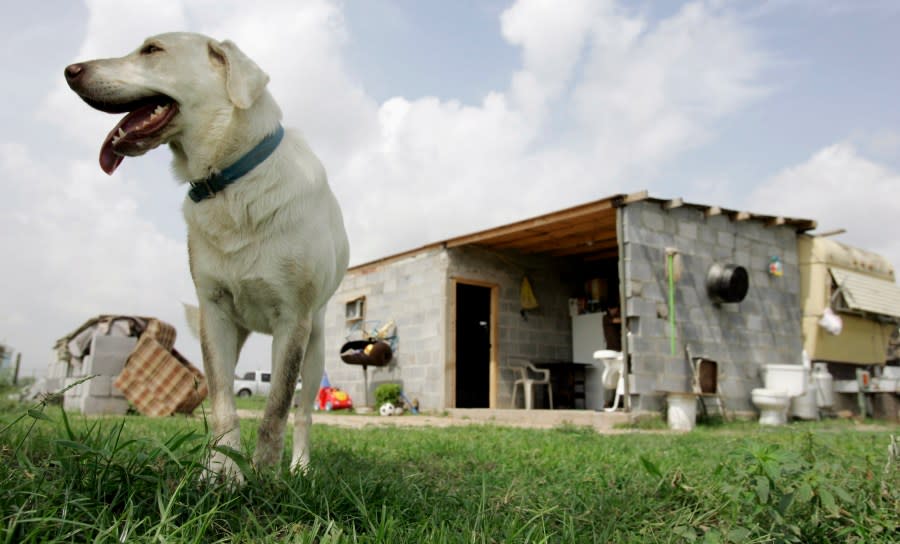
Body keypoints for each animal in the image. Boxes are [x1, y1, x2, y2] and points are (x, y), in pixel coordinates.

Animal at [63, 33, 350, 476]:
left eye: (152, 50)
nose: (70, 70)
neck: (231, 180)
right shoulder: (213, 313)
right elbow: (222, 405)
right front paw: (221, 473)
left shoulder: (292, 320)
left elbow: (275, 410)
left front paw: (265, 477)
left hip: (315, 343)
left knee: (303, 413)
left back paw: (300, 467)